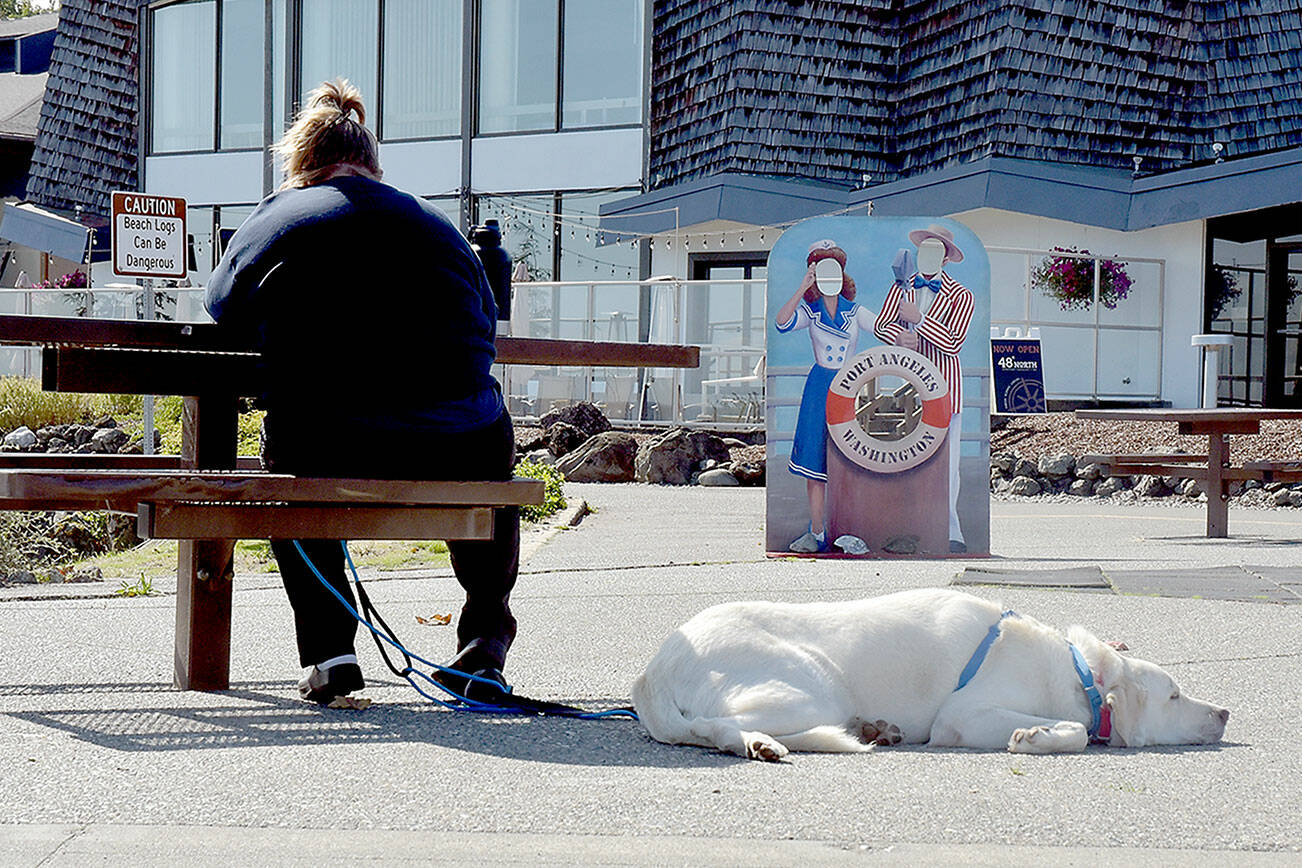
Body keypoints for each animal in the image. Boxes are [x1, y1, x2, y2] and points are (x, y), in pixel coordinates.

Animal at [630, 588, 1229, 754]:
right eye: (1174, 696)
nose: (1225, 712)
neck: (1077, 672)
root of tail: (655, 669)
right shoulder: (961, 717)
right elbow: (1077, 732)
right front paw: (1037, 736)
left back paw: (873, 730)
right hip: (814, 691)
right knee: (714, 727)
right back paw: (759, 744)